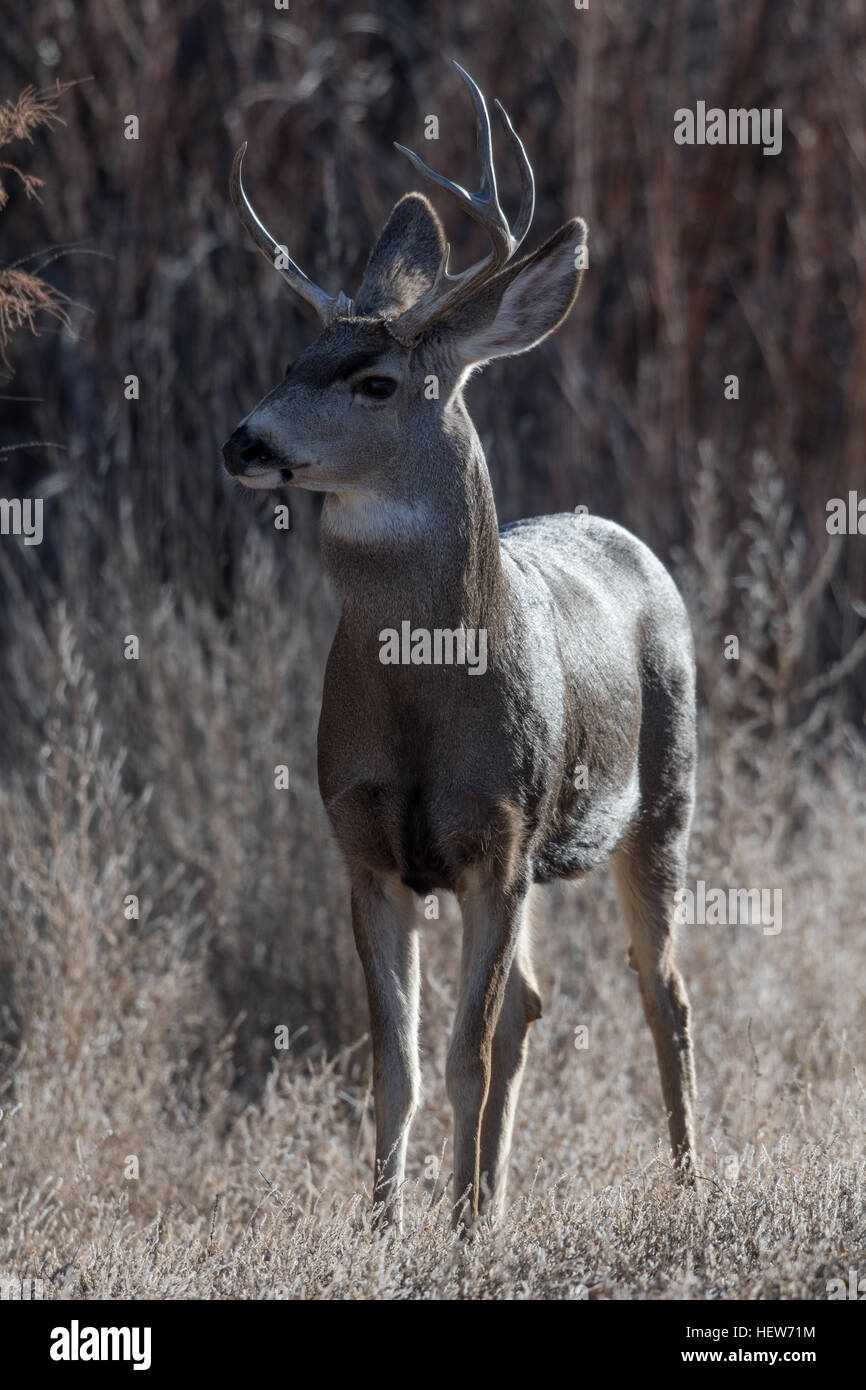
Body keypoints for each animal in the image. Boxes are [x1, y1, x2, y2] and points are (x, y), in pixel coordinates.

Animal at [223, 62, 697, 1228]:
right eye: (293, 358)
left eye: (374, 381)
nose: (244, 441)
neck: (418, 702)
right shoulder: (360, 846)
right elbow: (393, 1061)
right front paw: (390, 1227)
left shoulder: (501, 837)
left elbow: (461, 1054)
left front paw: (441, 1229)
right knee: (533, 1001)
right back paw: (487, 1201)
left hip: (661, 797)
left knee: (660, 989)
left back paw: (686, 1179)